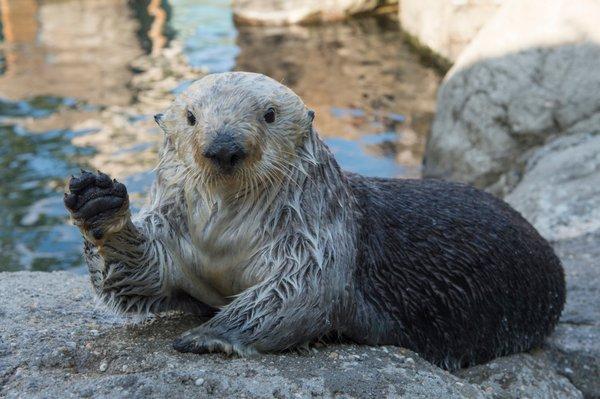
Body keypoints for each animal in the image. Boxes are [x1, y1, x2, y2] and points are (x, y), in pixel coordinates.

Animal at [63, 70, 564, 370]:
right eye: (190, 117)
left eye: (268, 115)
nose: (224, 146)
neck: (223, 239)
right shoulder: (178, 246)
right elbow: (140, 275)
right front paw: (98, 202)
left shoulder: (317, 241)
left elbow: (301, 292)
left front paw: (208, 335)